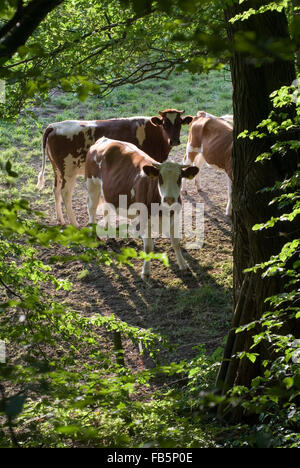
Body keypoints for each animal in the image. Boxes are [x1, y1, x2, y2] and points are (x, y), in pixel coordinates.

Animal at [37, 109, 192, 227]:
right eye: (165, 124)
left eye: (179, 123)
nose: (174, 140)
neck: (153, 133)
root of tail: (54, 126)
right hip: (68, 171)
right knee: (66, 193)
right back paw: (75, 223)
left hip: (58, 170)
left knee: (56, 190)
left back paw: (61, 220)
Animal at [85, 138, 198, 278]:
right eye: (160, 178)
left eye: (179, 178)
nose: (169, 199)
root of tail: (103, 140)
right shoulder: (145, 219)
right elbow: (148, 246)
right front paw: (146, 271)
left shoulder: (175, 217)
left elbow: (176, 242)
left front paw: (183, 265)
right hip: (92, 185)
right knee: (91, 209)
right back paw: (94, 235)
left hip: (106, 192)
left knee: (106, 207)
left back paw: (108, 230)